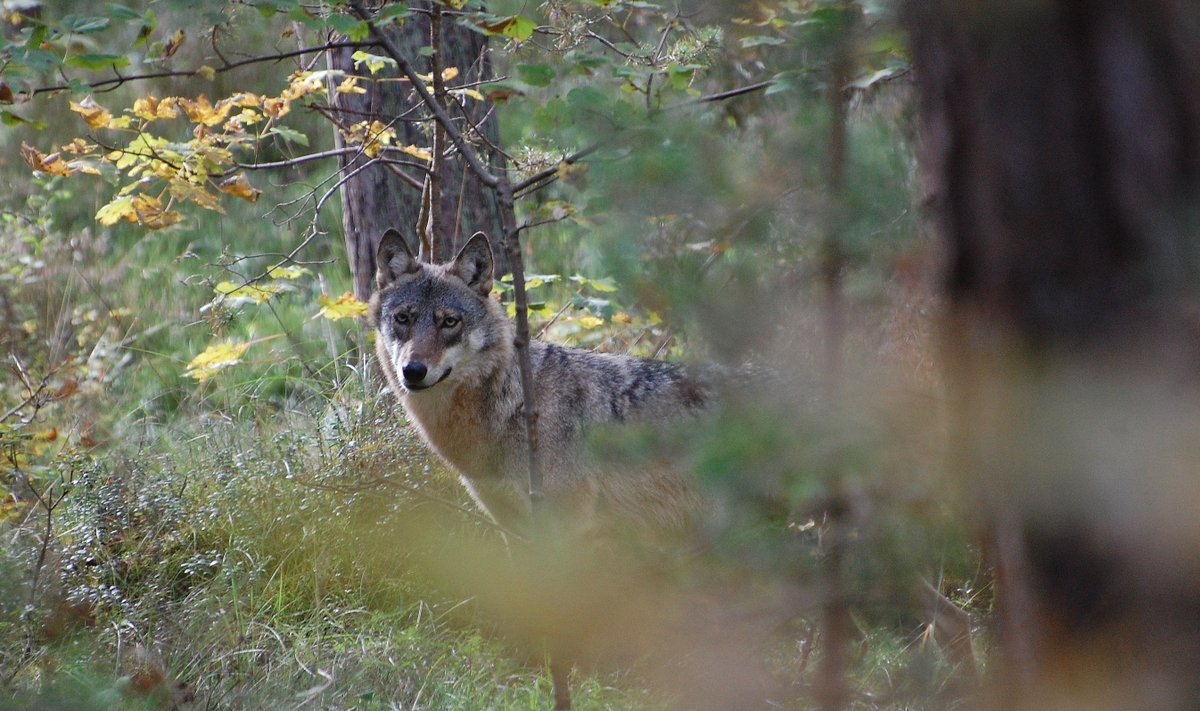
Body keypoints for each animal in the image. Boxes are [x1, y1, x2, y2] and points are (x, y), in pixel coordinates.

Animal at [369, 229, 711, 537]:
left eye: (449, 322)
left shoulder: (567, 525)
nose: (413, 370)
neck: (516, 405)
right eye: (403, 318)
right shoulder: (509, 524)